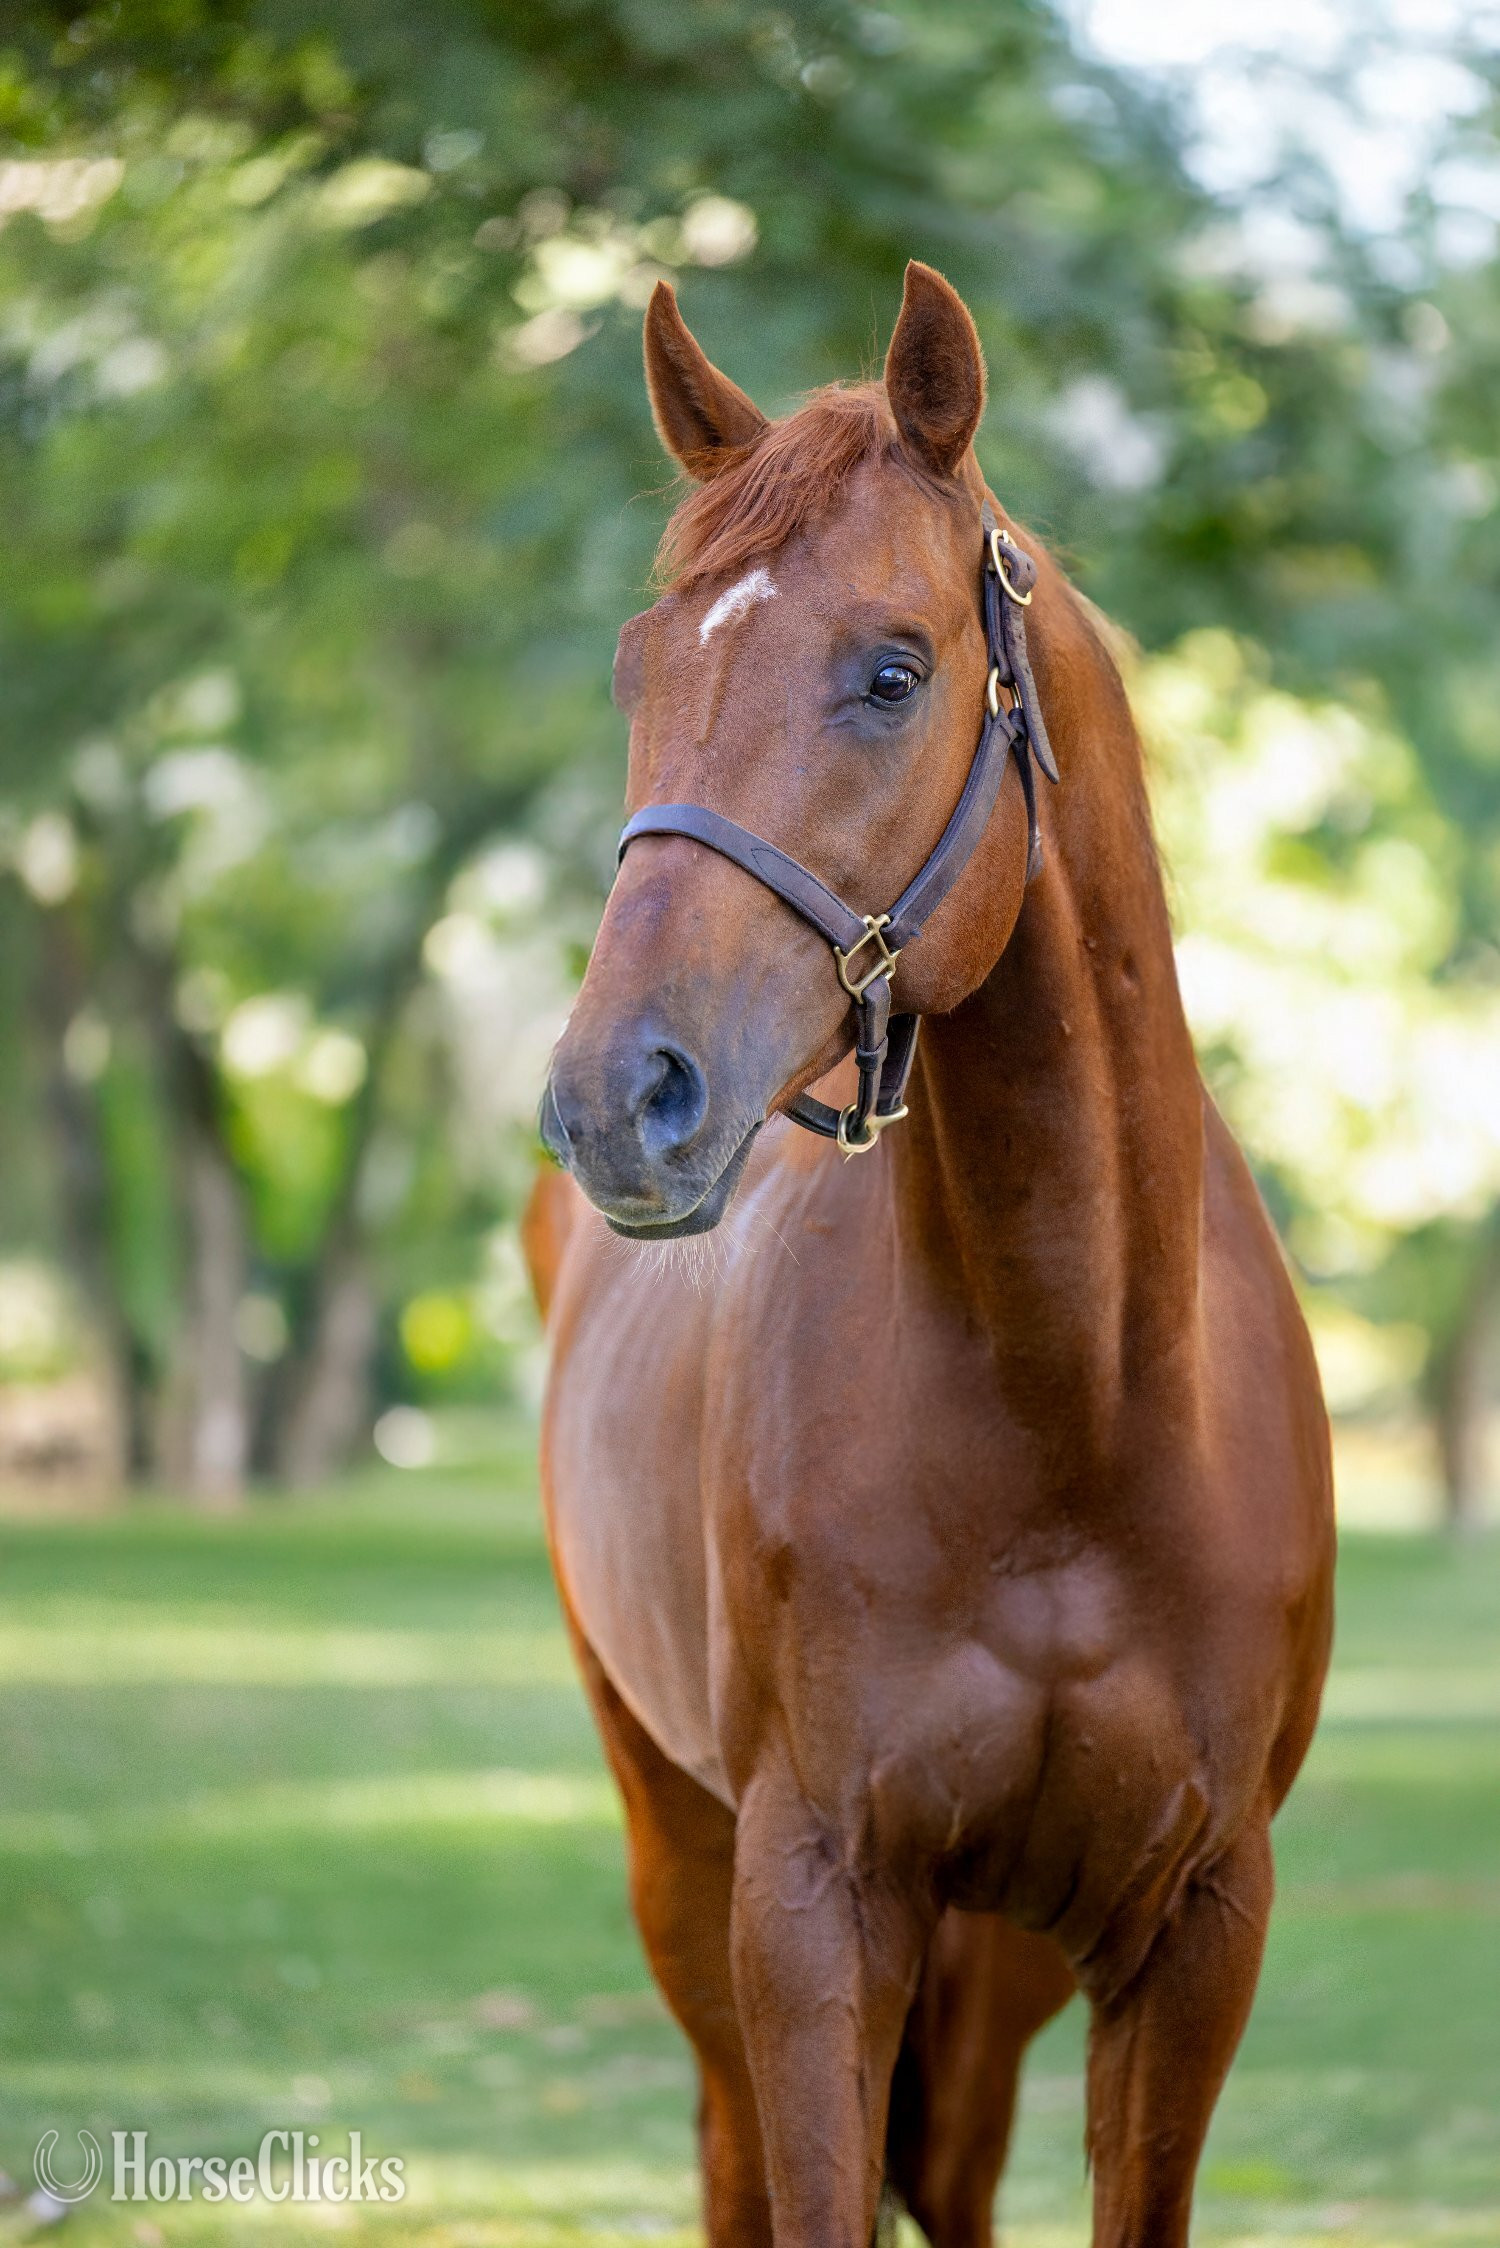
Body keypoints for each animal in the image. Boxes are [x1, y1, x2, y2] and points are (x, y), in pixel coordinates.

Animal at [526, 261, 1335, 2248]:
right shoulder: (813, 1907)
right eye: (639, 672)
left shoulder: (1193, 1928)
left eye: (891, 671)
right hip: (688, 1865)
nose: (616, 1096)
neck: (1075, 1401)